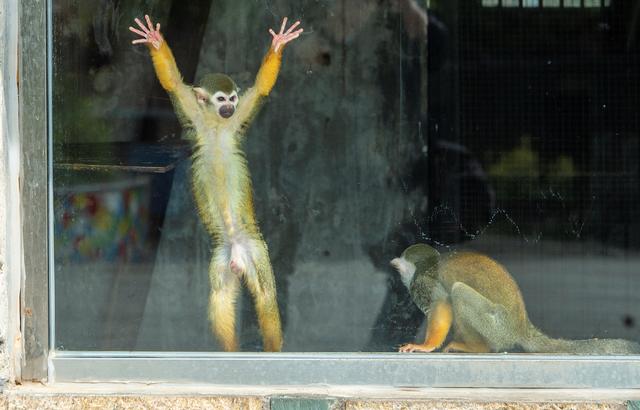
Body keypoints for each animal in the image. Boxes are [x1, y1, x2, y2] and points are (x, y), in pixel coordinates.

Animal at [129, 14, 302, 350]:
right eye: (221, 99)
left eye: (233, 99)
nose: (229, 107)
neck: (217, 125)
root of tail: (236, 250)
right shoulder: (194, 116)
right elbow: (172, 83)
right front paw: (155, 41)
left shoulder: (237, 122)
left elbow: (261, 88)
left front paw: (277, 45)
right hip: (220, 259)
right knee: (220, 297)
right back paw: (230, 350)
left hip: (256, 250)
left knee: (265, 294)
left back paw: (273, 350)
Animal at [390, 243, 640, 356]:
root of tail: (521, 327)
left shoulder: (424, 283)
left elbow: (441, 305)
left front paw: (425, 345)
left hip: (496, 326)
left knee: (458, 291)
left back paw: (478, 348)